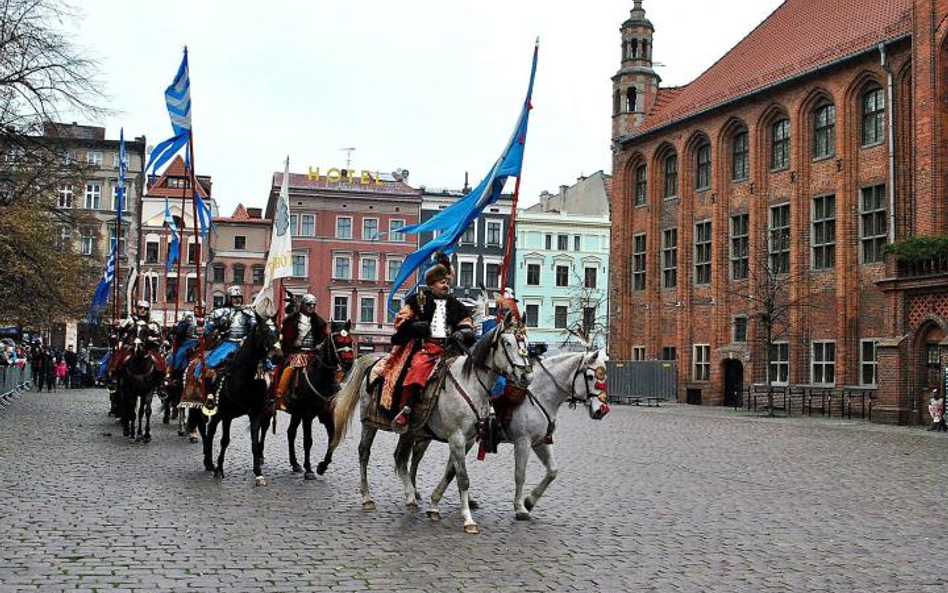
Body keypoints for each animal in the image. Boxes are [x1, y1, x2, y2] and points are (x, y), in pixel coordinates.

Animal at [202, 312, 280, 484]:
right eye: (264, 330)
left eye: (277, 330)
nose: (278, 355)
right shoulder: (227, 415)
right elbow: (225, 440)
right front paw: (219, 469)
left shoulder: (256, 413)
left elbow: (255, 443)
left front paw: (258, 473)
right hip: (216, 412)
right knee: (210, 431)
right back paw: (209, 462)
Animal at [286, 322, 356, 478]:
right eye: (337, 341)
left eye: (350, 340)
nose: (348, 363)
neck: (323, 378)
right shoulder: (307, 415)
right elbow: (308, 441)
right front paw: (309, 469)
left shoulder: (328, 414)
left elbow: (332, 439)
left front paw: (322, 466)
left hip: (296, 413)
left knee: (291, 433)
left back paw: (295, 464)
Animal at [330, 316, 528, 536]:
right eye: (507, 343)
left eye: (525, 344)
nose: (525, 376)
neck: (469, 385)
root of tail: (376, 360)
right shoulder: (456, 438)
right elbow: (462, 478)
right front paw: (468, 520)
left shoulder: (467, 441)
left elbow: (451, 473)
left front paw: (434, 506)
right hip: (369, 424)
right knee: (364, 453)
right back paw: (367, 498)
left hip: (409, 431)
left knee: (400, 457)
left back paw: (410, 498)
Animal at [408, 350, 608, 520]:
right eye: (590, 376)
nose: (602, 410)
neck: (540, 394)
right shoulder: (523, 442)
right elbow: (520, 475)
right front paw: (520, 507)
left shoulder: (540, 442)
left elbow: (552, 471)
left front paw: (530, 501)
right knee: (415, 458)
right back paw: (413, 492)